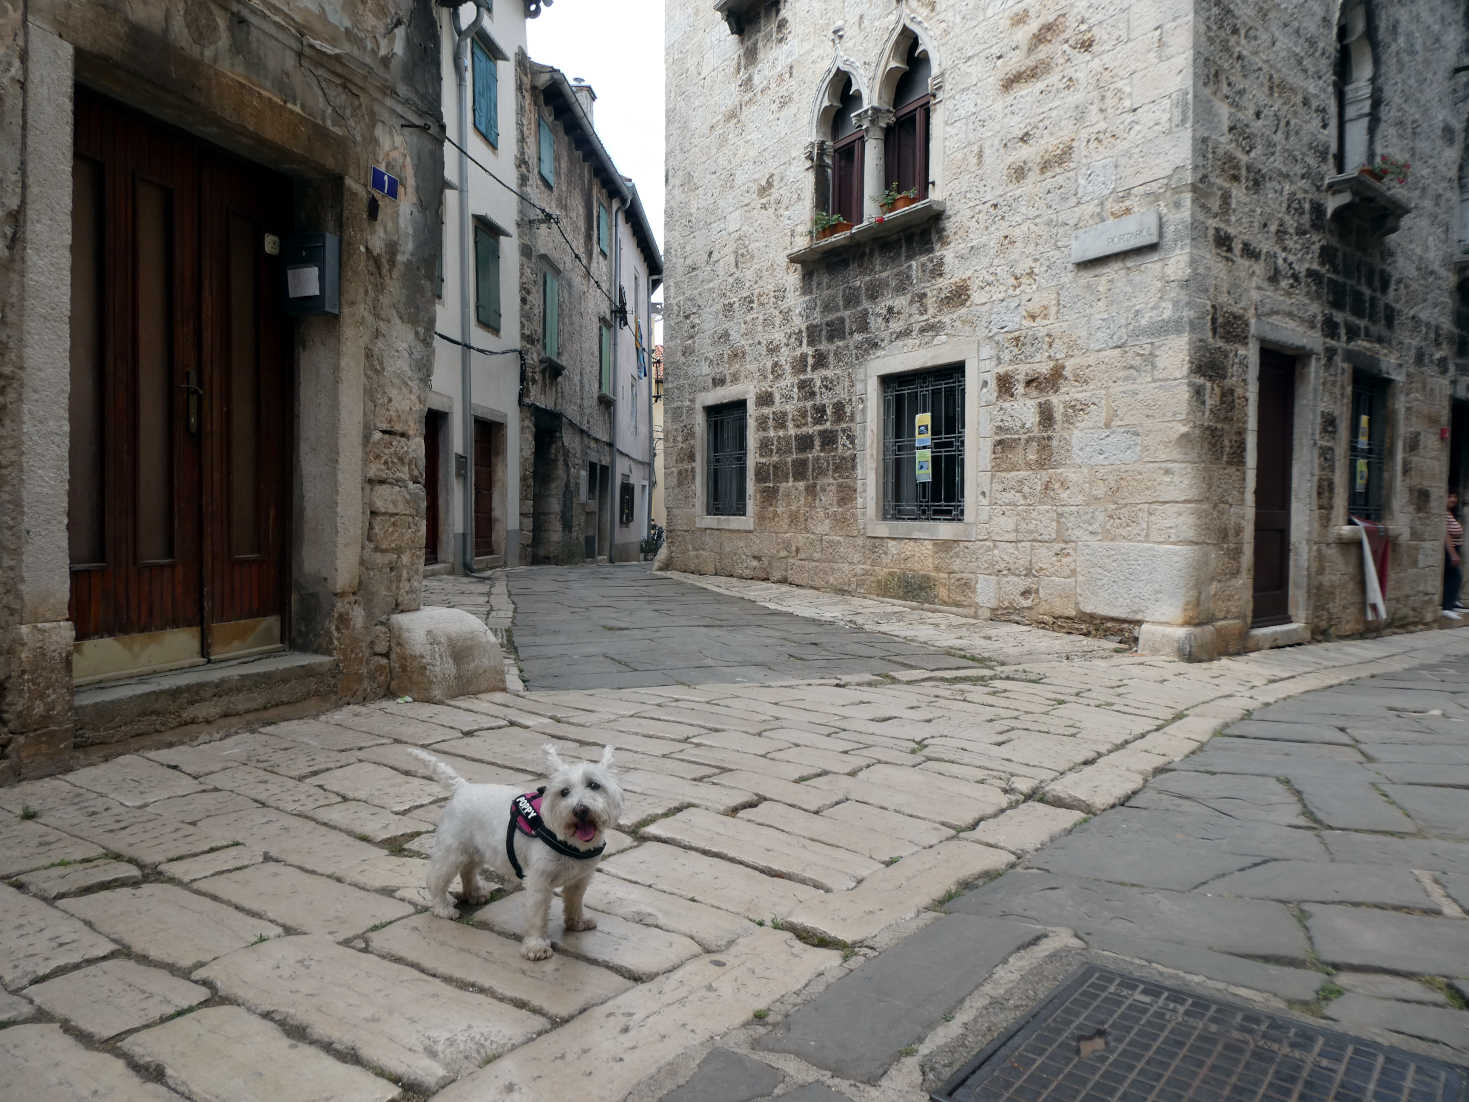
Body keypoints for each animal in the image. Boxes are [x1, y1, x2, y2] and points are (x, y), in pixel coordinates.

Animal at [411, 746, 622, 963]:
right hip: (453, 849)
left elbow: (575, 900)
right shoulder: (539, 880)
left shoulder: (581, 877)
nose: (580, 810)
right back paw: (443, 908)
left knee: (468, 870)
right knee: (436, 877)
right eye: (564, 792)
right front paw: (536, 947)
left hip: (476, 849)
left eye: (594, 785)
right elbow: (537, 914)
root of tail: (462, 788)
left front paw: (577, 922)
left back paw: (475, 894)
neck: (570, 842)